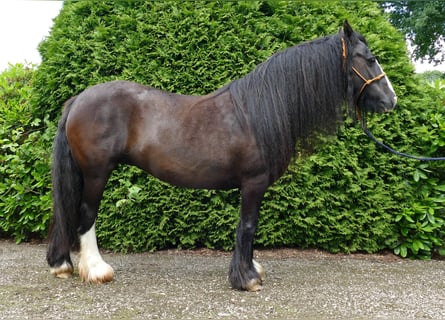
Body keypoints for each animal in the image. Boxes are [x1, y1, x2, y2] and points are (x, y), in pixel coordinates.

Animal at [47, 21, 396, 292]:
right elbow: (248, 226)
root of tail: (79, 99)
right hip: (96, 172)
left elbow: (249, 227)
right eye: (371, 59)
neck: (259, 111)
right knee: (86, 215)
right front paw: (247, 279)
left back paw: (62, 265)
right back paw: (96, 270)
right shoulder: (253, 183)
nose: (391, 100)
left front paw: (251, 269)